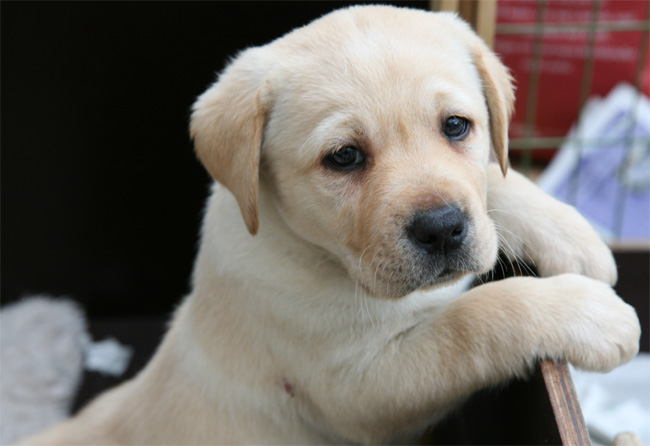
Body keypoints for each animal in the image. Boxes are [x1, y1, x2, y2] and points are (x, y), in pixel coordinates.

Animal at [21, 5, 636, 444]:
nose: (441, 228)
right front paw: (589, 314)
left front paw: (576, 236)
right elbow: (475, 318)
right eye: (344, 157)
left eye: (457, 126)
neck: (318, 254)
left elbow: (491, 180)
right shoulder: (361, 386)